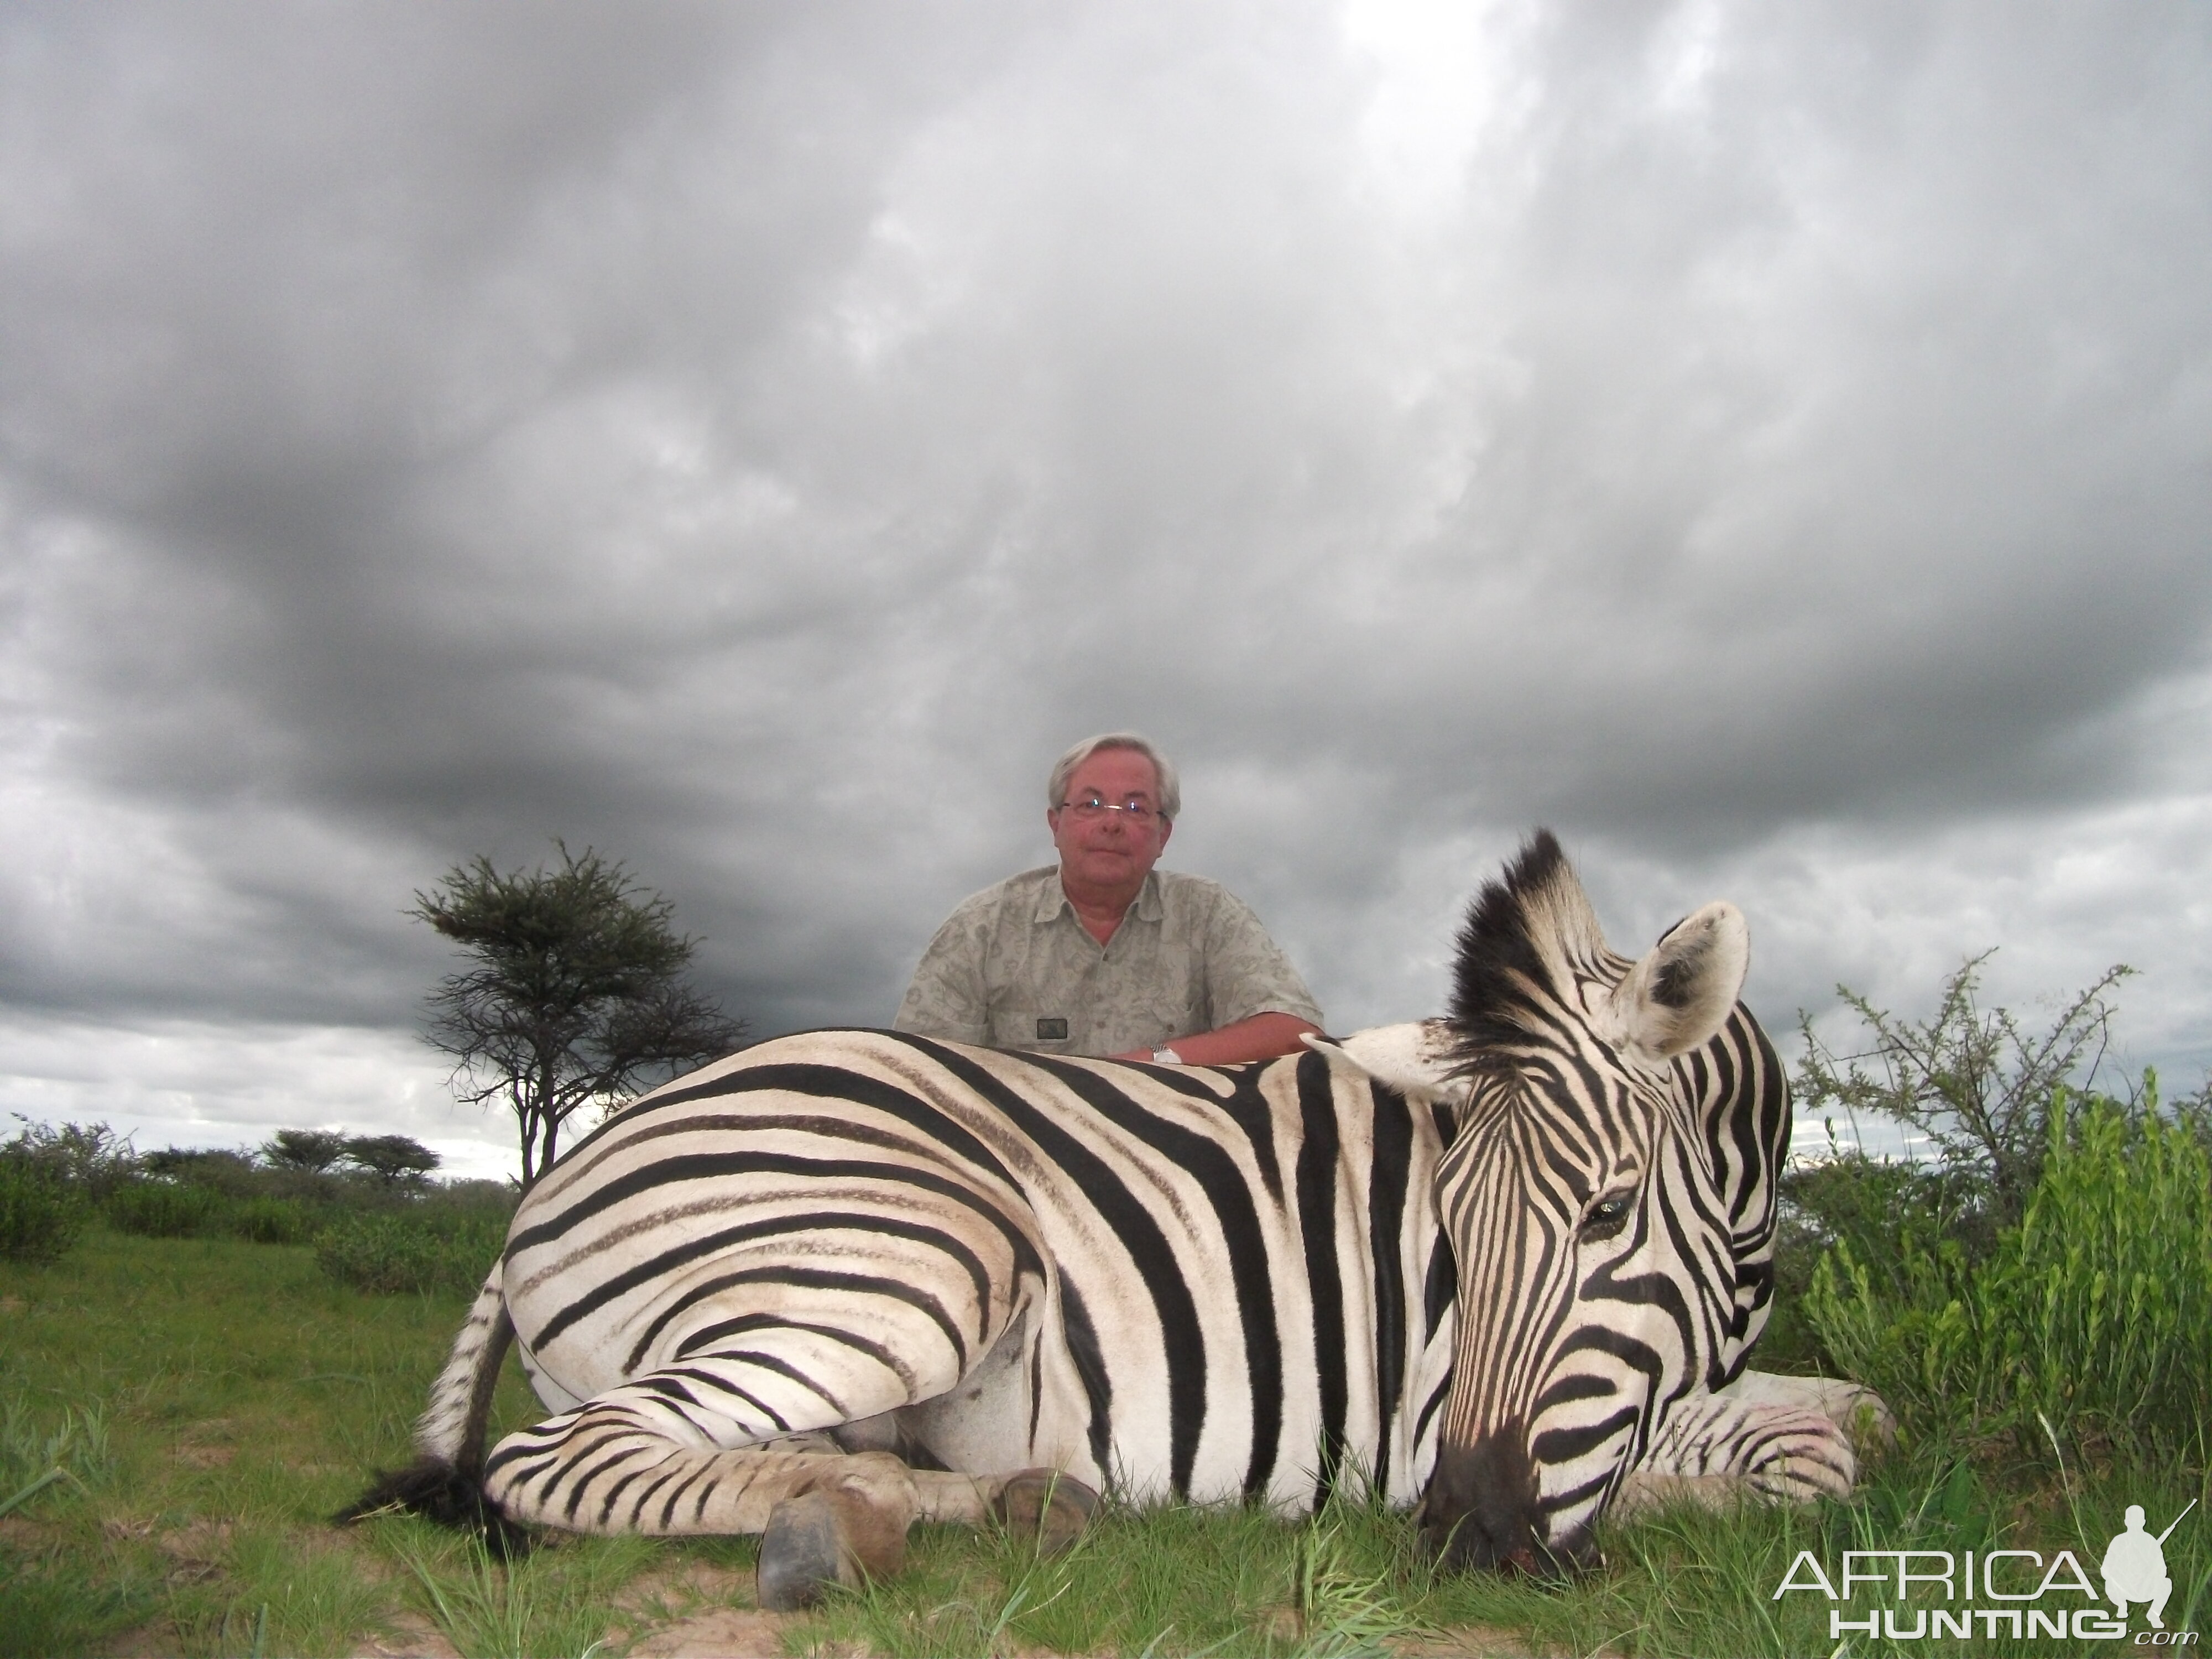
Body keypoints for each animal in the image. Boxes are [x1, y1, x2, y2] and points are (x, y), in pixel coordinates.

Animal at [354, 836, 1876, 1601]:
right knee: (552, 1460)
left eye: (1610, 1210)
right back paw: (847, 1525)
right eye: (1449, 1233)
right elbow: (1806, 1457)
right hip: (926, 1255)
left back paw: (962, 1499)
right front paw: (1687, 1491)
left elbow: (1838, 1408)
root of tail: (555, 1177)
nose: (1461, 1538)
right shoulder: (1422, 1412)